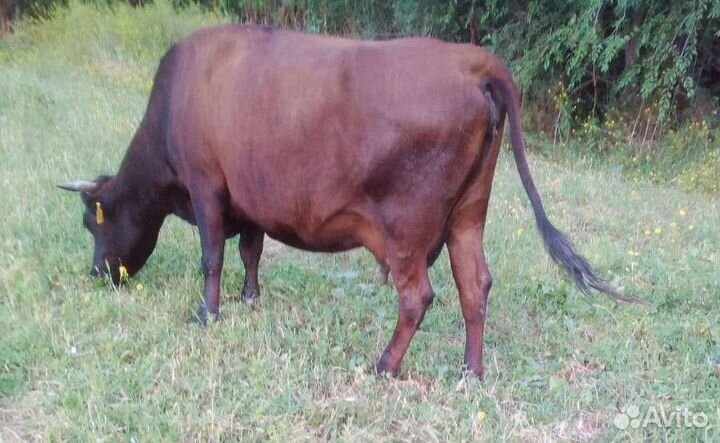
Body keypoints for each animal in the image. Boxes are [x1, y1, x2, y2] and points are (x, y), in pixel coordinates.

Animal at [58, 25, 640, 378]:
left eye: (93, 223)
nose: (97, 273)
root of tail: (474, 63)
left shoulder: (207, 187)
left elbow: (212, 256)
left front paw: (208, 313)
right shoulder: (250, 199)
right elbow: (250, 250)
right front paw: (250, 298)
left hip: (407, 228)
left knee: (418, 296)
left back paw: (385, 364)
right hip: (468, 215)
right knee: (475, 286)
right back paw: (470, 372)